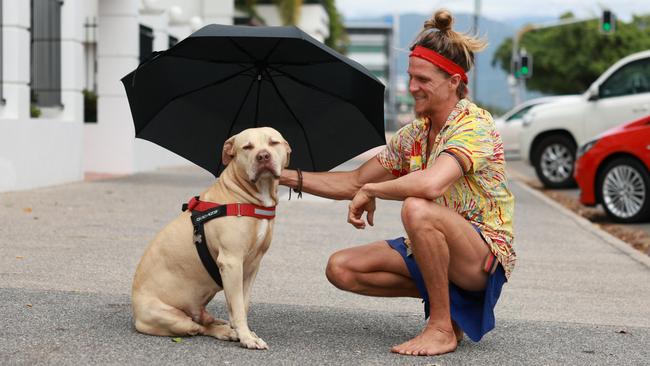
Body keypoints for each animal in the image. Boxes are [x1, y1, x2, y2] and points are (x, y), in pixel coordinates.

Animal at [132, 126, 292, 348]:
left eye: (273, 143)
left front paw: (244, 332)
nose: (263, 156)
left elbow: (242, 304)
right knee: (199, 328)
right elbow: (237, 307)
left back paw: (222, 324)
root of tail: (135, 313)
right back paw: (225, 331)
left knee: (204, 321)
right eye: (247, 147)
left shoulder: (251, 266)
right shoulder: (232, 262)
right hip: (173, 318)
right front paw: (246, 337)